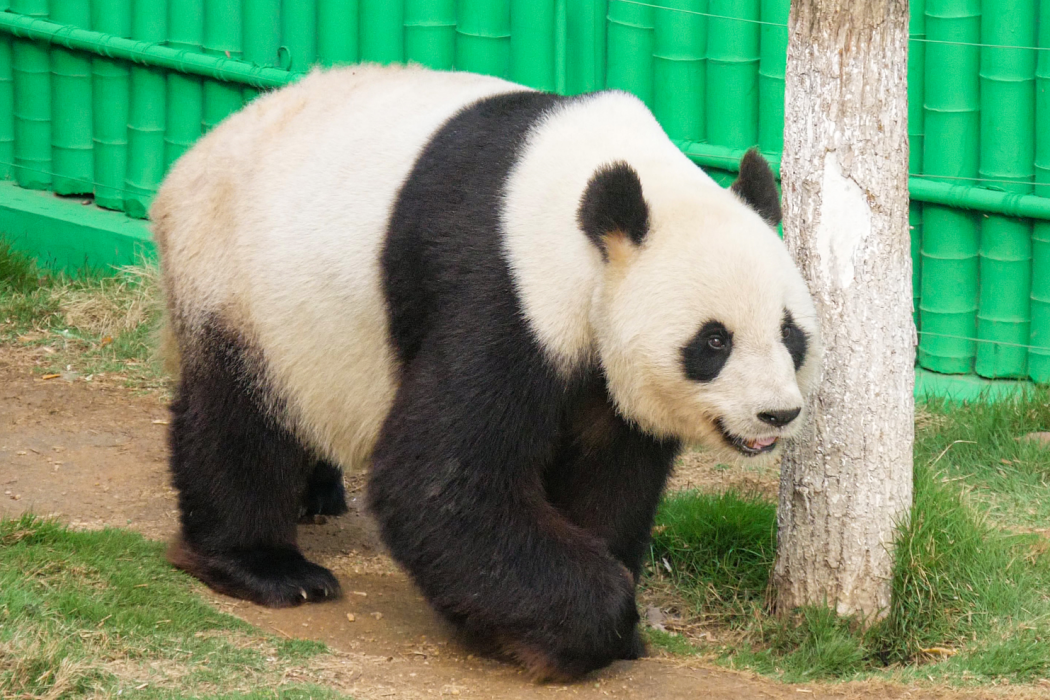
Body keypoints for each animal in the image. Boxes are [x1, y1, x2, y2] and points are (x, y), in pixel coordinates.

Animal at [150, 62, 818, 680]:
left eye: (790, 333)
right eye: (714, 341)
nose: (776, 413)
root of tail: (184, 166)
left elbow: (611, 468)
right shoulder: (503, 279)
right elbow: (441, 478)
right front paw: (583, 623)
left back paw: (317, 496)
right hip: (239, 283)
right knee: (239, 421)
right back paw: (269, 567)